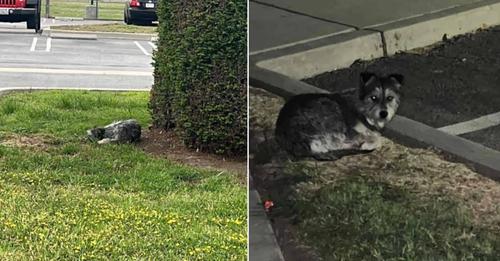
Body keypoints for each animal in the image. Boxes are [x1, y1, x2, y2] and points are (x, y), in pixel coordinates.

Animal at [274, 71, 402, 160]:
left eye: (390, 98)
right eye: (373, 97)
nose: (384, 113)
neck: (362, 108)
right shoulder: (352, 132)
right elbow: (377, 138)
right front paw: (367, 143)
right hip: (332, 113)